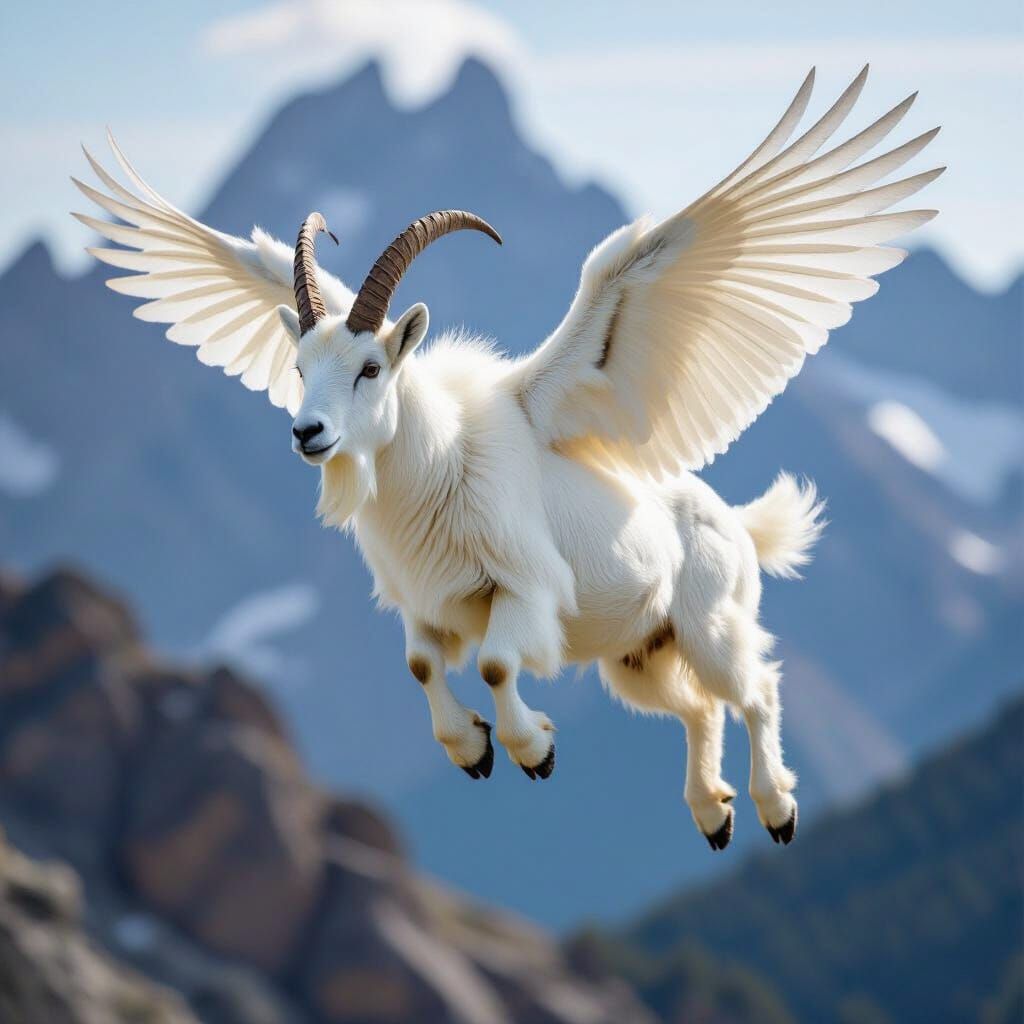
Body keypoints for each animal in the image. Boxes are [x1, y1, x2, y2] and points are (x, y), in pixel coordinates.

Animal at [75, 66, 941, 849]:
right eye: (297, 367)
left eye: (371, 368)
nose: (308, 434)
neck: (437, 463)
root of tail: (737, 525)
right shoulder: (426, 605)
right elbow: (423, 667)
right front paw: (474, 750)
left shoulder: (524, 589)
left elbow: (494, 665)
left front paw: (533, 749)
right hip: (637, 655)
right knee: (697, 708)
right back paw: (713, 815)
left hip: (710, 624)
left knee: (755, 689)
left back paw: (776, 808)